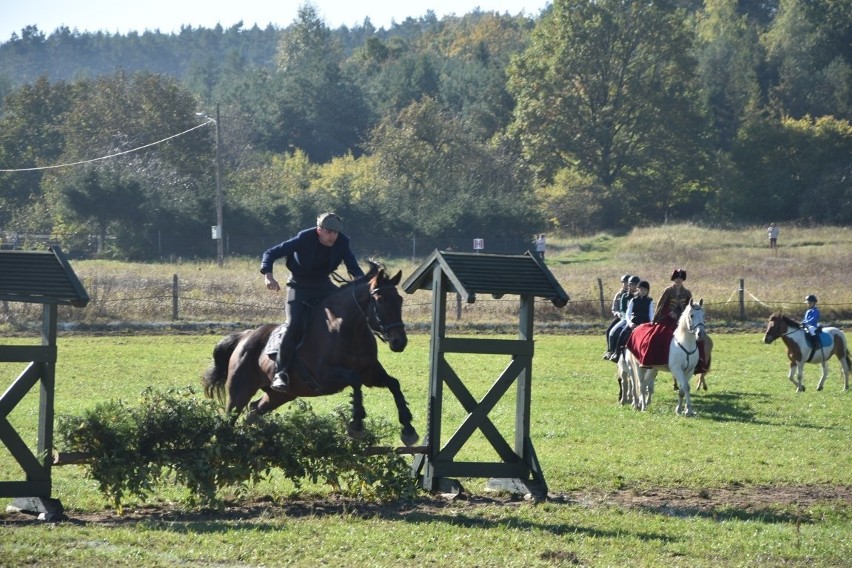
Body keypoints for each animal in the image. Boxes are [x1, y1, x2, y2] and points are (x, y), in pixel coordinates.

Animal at [204, 264, 422, 446]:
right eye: (380, 300)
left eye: (400, 300)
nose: (399, 342)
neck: (351, 329)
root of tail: (245, 336)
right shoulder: (325, 376)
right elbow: (355, 380)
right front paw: (357, 424)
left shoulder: (371, 373)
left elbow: (394, 384)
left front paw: (408, 428)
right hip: (239, 391)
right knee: (231, 416)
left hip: (280, 395)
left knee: (254, 410)